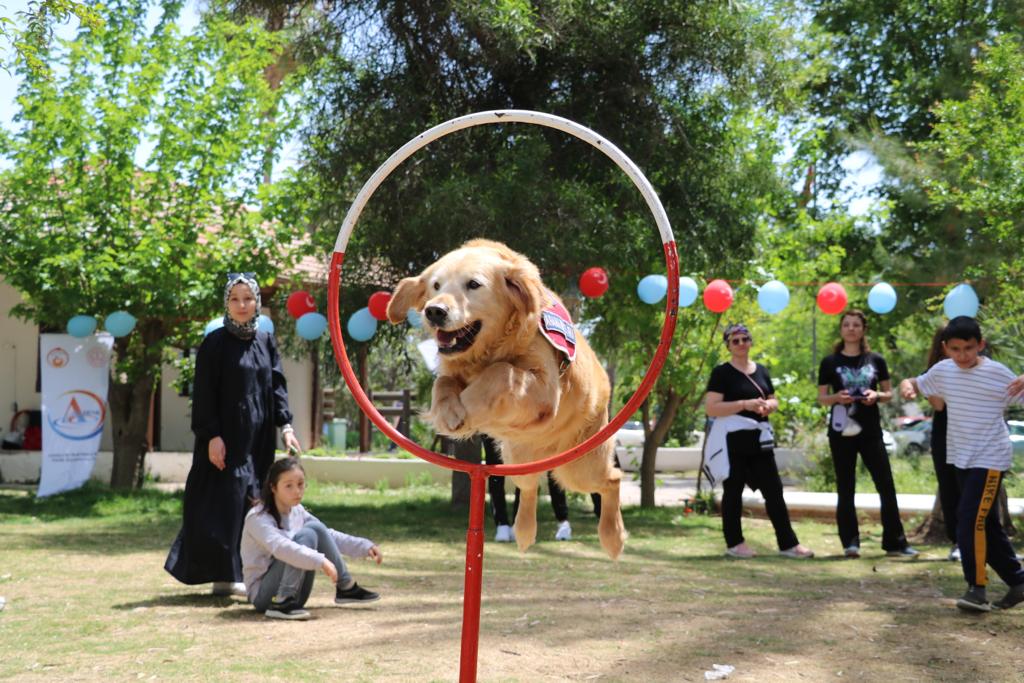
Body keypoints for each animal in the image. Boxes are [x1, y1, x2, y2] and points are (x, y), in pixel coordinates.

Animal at [385, 237, 622, 557]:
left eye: (473, 284)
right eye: (435, 285)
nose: (434, 311)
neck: (487, 350)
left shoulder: (545, 389)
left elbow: (501, 372)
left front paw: (468, 405)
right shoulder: (453, 371)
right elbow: (443, 382)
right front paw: (449, 413)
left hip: (580, 467)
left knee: (611, 481)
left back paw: (613, 537)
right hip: (517, 458)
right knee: (530, 486)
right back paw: (523, 531)